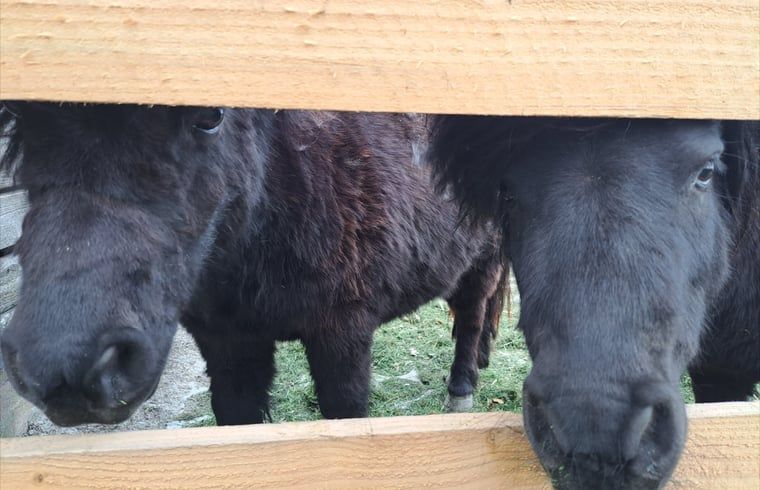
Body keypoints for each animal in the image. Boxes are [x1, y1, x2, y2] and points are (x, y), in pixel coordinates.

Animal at [0, 102, 506, 427]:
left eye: (210, 117)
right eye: (17, 121)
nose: (67, 368)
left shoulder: (342, 332)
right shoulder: (228, 344)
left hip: (482, 256)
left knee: (473, 310)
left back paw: (462, 387)